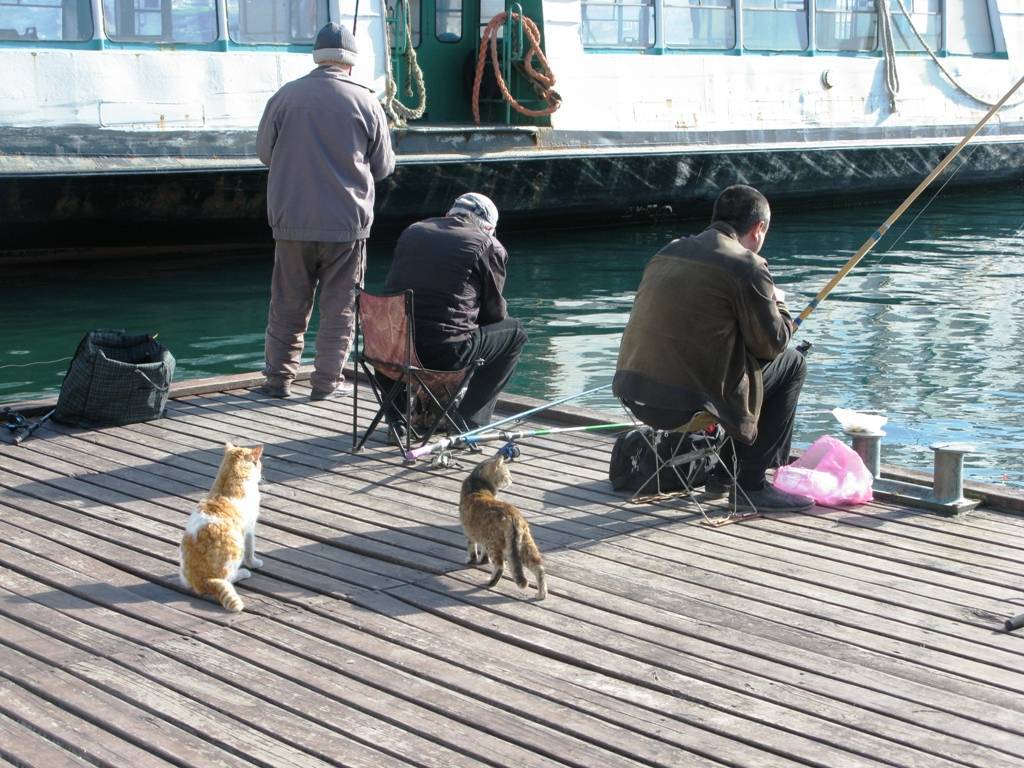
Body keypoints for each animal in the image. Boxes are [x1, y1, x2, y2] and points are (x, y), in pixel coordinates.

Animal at [182, 444, 266, 614]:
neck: (227, 481)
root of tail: (203, 581)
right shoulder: (250, 529)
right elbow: (251, 550)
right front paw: (254, 563)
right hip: (237, 547)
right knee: (230, 578)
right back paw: (243, 573)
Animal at [460, 456, 548, 602]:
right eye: (507, 474)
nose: (512, 479)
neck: (478, 482)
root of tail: (512, 515)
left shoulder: (470, 532)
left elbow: (472, 549)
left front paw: (471, 560)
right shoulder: (480, 535)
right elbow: (482, 552)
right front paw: (482, 561)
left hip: (494, 544)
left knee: (500, 566)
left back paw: (490, 582)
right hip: (525, 544)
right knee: (539, 567)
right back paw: (541, 595)